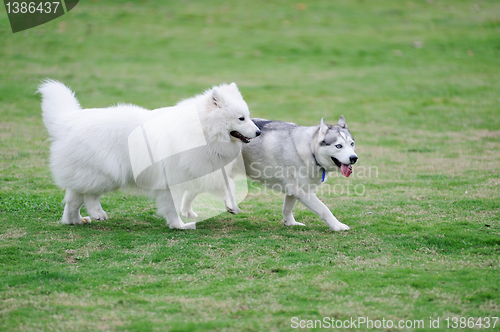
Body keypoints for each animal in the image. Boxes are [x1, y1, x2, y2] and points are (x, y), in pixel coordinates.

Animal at [39, 81, 260, 230]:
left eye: (248, 116)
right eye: (241, 118)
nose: (258, 132)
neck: (203, 131)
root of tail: (67, 122)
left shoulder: (204, 170)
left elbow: (227, 186)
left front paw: (231, 206)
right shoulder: (171, 180)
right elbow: (172, 206)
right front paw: (179, 225)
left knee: (73, 199)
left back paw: (75, 220)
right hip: (106, 173)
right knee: (88, 196)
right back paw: (95, 213)